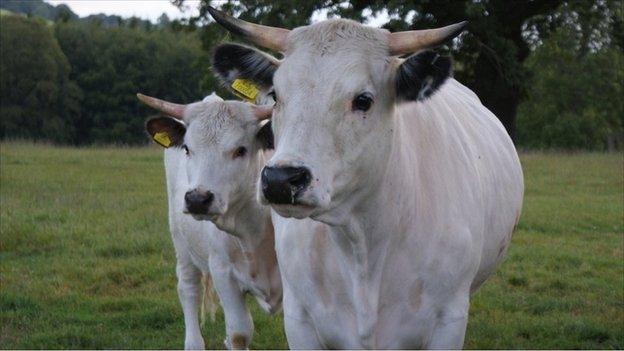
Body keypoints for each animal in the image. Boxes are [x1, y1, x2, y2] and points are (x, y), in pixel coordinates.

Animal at [140, 93, 282, 350]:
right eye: (187, 148)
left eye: (240, 150)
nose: (197, 199)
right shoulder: (222, 271)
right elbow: (239, 333)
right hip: (181, 246)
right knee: (188, 289)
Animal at [208, 7, 520, 350]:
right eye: (276, 95)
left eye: (363, 100)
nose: (280, 179)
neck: (362, 245)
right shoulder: (299, 318)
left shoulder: (449, 321)